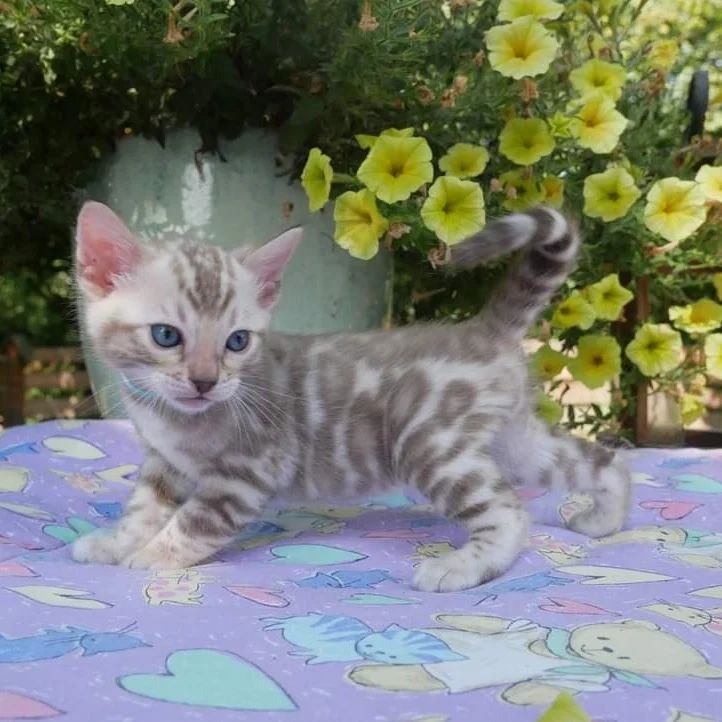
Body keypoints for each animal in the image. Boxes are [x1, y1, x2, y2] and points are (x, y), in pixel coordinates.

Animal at [70, 200, 628, 588]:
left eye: (237, 341)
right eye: (166, 336)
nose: (205, 381)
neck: (171, 418)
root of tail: (482, 329)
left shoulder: (247, 473)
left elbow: (193, 523)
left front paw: (150, 556)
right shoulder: (165, 465)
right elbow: (143, 509)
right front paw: (113, 541)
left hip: (429, 443)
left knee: (509, 511)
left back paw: (463, 566)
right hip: (512, 440)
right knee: (600, 462)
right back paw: (605, 517)